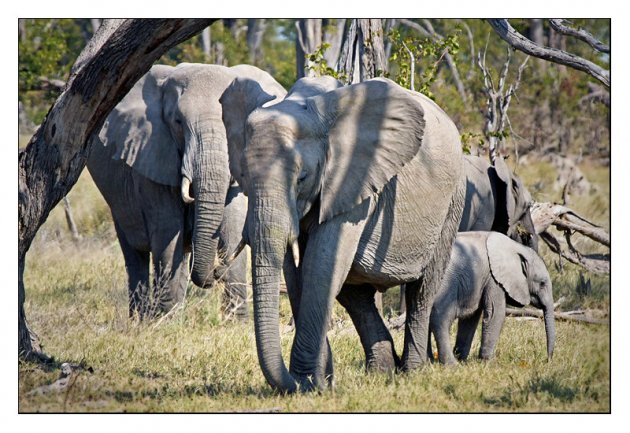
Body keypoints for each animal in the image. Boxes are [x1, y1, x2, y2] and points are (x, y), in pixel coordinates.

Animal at [88, 63, 286, 318]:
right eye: (178, 122)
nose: (215, 271)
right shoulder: (152, 154)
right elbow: (168, 233)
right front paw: (166, 321)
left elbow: (232, 229)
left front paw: (236, 321)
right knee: (134, 254)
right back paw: (141, 320)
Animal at [220, 76, 466, 394]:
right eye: (245, 177)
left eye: (301, 179)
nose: (314, 383)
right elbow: (306, 275)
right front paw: (317, 381)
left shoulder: (353, 178)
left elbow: (320, 268)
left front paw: (307, 382)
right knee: (356, 295)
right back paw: (382, 372)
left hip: (453, 200)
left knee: (422, 290)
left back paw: (412, 372)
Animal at [430, 231, 556, 362]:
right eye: (542, 283)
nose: (547, 360)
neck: (516, 248)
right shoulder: (494, 279)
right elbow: (495, 313)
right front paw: (487, 362)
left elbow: (471, 318)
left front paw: (462, 359)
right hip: (446, 283)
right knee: (441, 317)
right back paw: (451, 363)